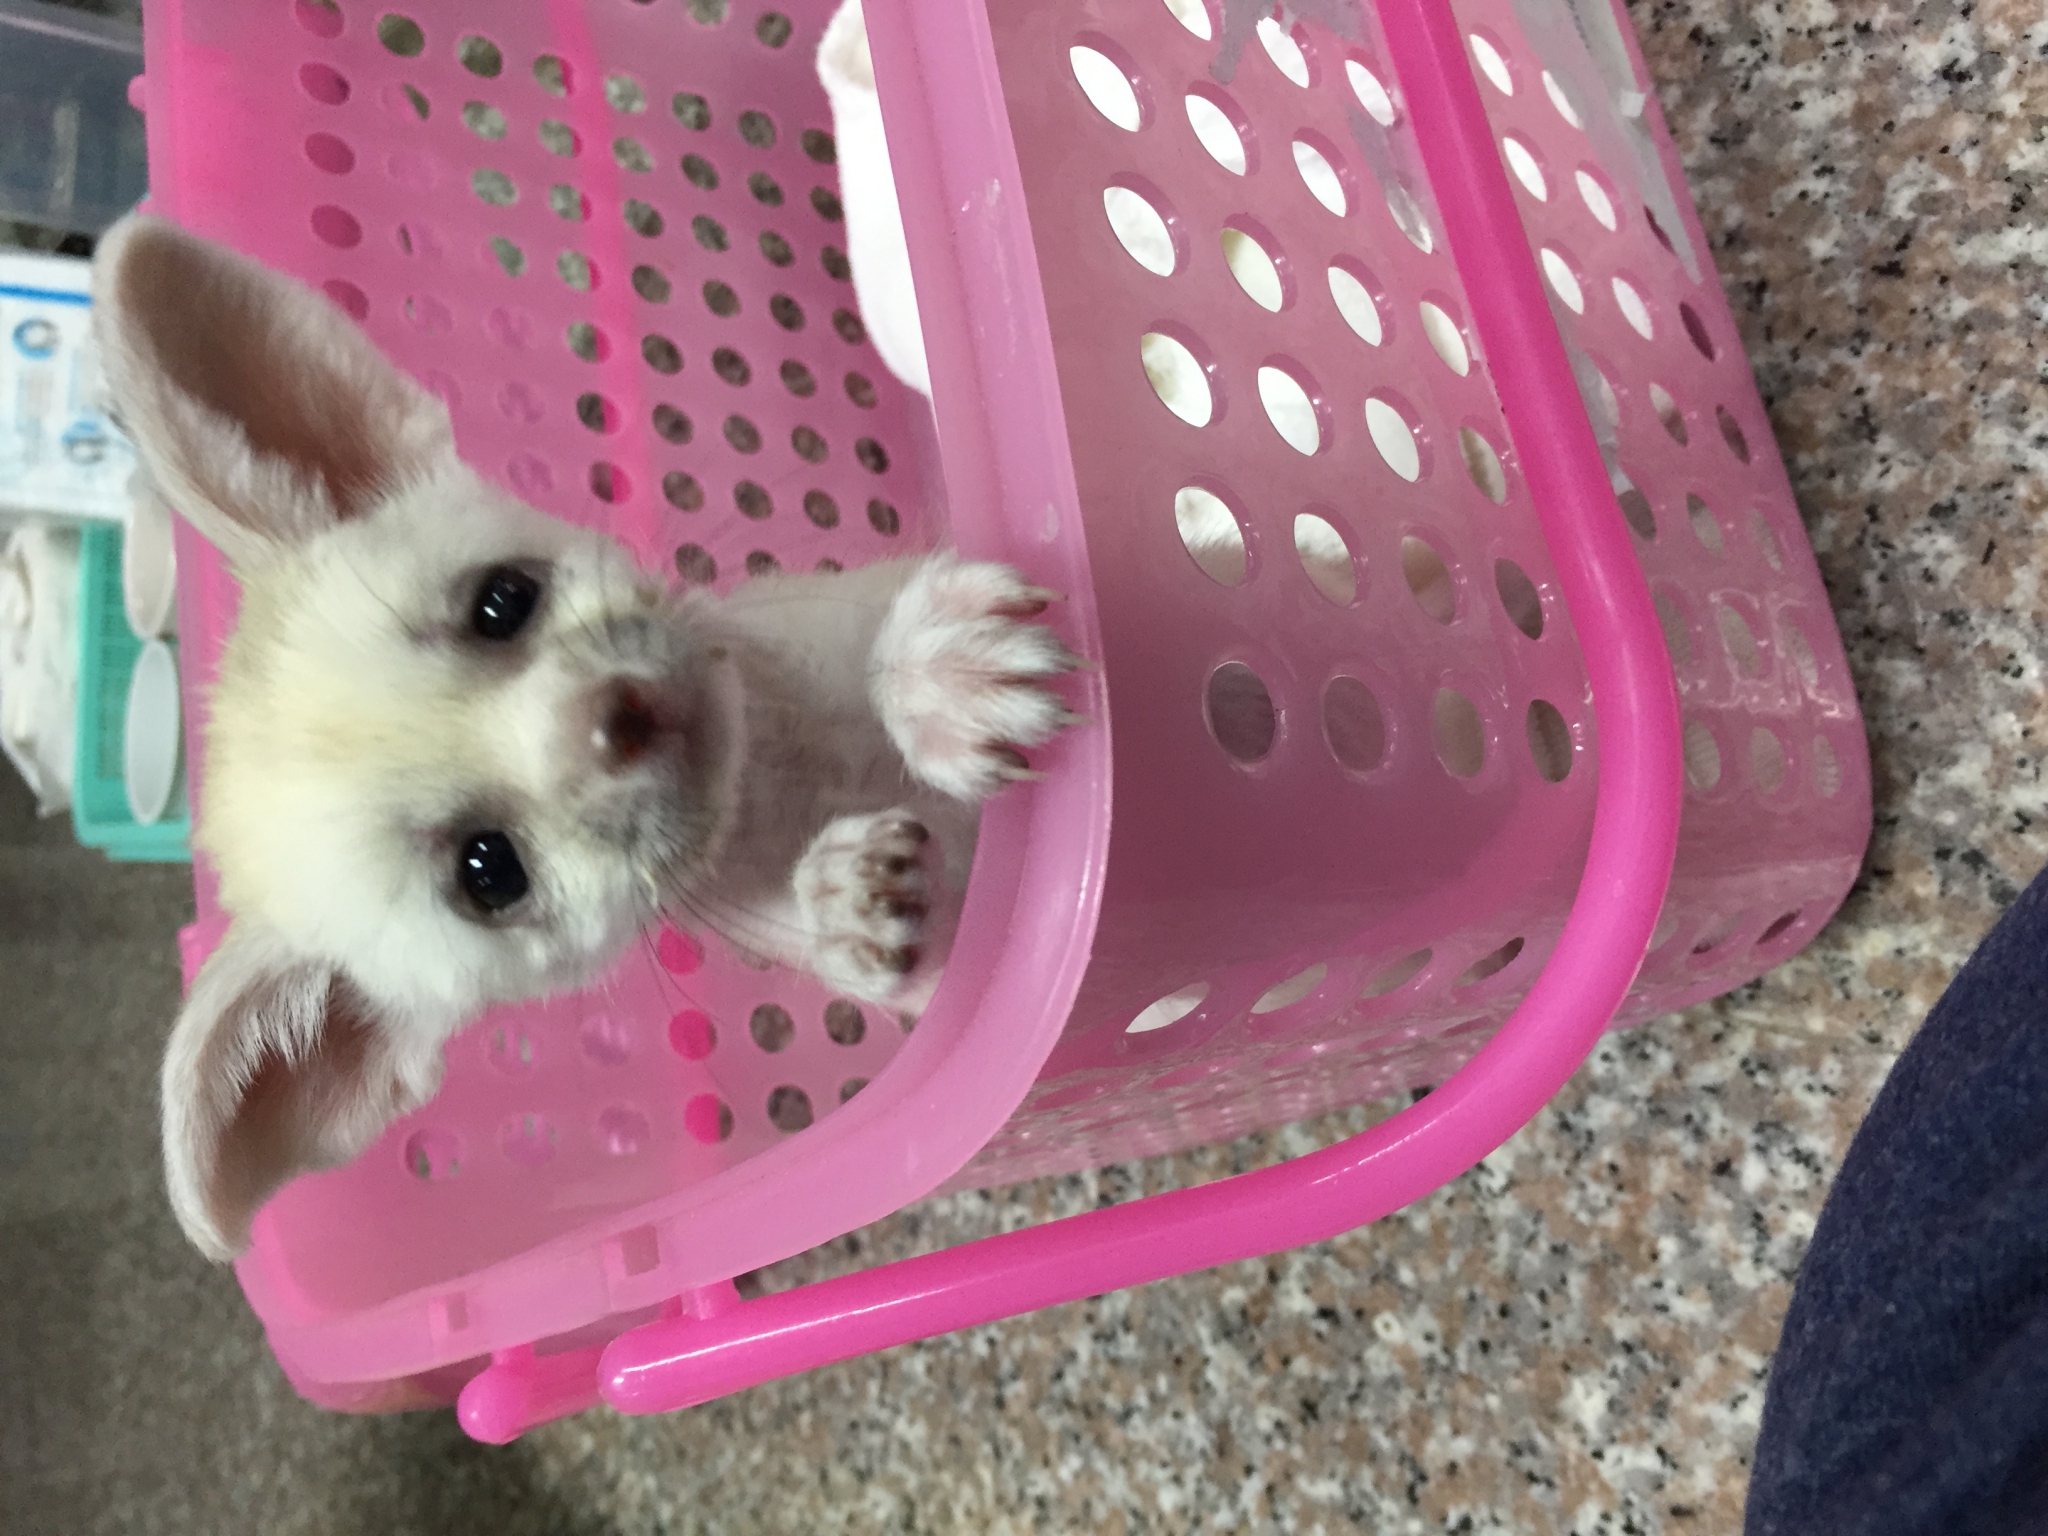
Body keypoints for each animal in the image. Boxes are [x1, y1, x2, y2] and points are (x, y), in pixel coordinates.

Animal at [92, 214, 1077, 1262]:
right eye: (489, 870)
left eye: (501, 600)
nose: (617, 717)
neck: (791, 767)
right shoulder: (950, 996)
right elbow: (932, 956)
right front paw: (850, 898)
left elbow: (886, 638)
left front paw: (936, 673)